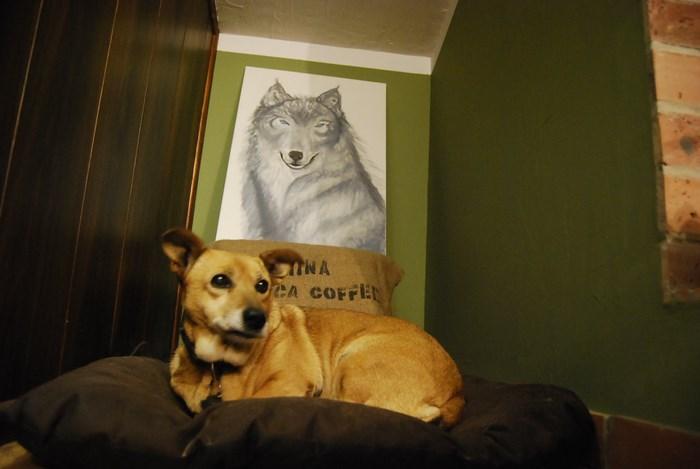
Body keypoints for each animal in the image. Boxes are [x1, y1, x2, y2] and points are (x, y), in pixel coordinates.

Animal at [162, 228, 464, 427]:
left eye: (263, 285)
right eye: (220, 280)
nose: (258, 318)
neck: (220, 362)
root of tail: (457, 391)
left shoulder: (288, 380)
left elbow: (245, 400)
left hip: (354, 358)